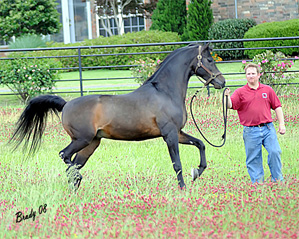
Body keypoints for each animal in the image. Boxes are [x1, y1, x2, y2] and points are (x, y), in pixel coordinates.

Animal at [10, 43, 226, 189]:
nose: (222, 82)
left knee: (72, 167)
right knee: (65, 156)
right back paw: (78, 181)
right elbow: (177, 164)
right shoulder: (170, 134)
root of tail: (66, 104)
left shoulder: (178, 133)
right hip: (82, 139)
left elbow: (201, 144)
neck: (164, 92)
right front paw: (183, 187)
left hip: (91, 144)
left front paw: (197, 171)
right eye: (210, 60)